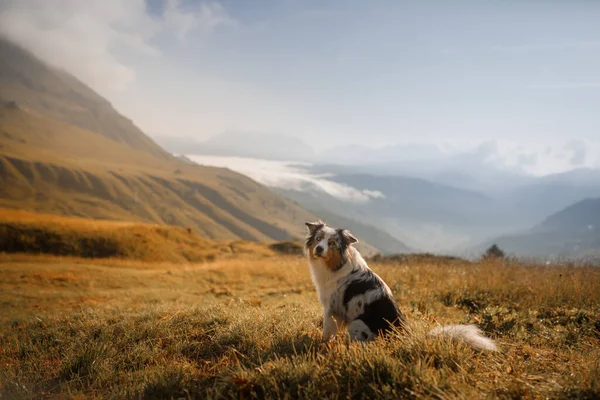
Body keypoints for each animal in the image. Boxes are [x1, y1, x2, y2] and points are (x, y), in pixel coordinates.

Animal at [304, 220, 496, 352]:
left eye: (332, 243)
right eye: (318, 239)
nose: (319, 249)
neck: (336, 265)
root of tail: (406, 338)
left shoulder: (332, 309)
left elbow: (327, 332)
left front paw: (322, 346)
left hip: (357, 323)